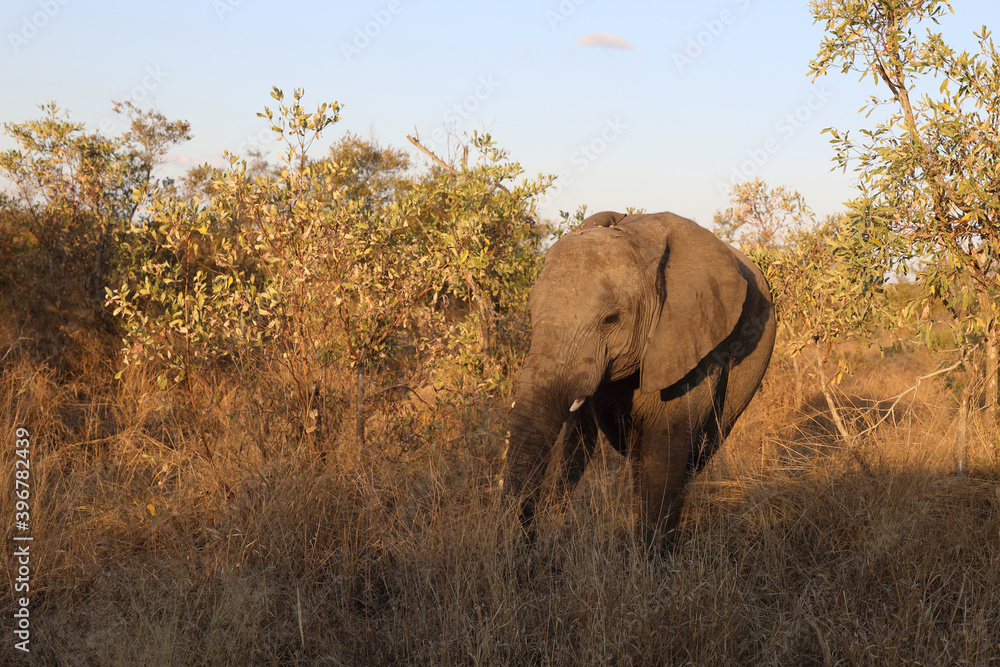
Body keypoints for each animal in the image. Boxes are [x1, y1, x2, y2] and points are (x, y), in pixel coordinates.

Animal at [500, 210, 775, 547]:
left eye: (611, 319)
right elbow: (581, 438)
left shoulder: (698, 340)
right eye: (530, 314)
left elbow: (667, 445)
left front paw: (652, 553)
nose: (530, 541)